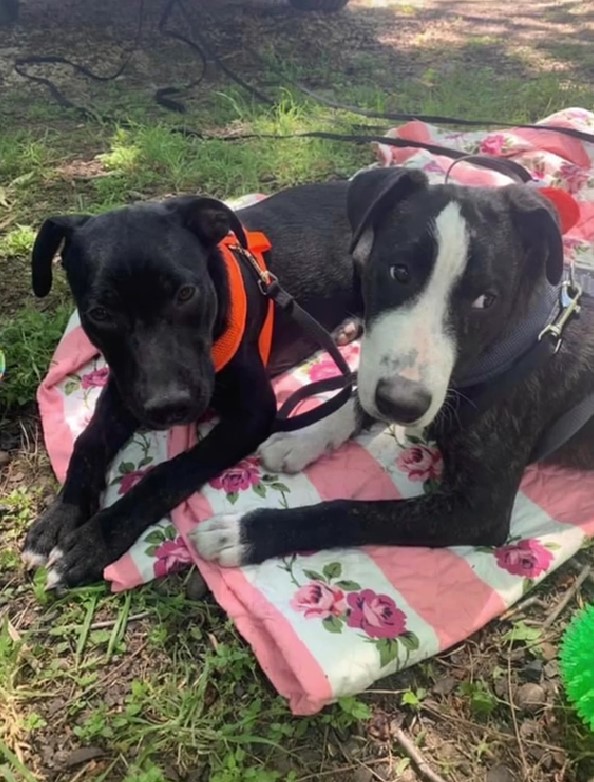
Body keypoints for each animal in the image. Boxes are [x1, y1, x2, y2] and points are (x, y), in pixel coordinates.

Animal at [23, 184, 360, 588]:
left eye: (185, 293)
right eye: (100, 314)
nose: (169, 406)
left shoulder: (253, 414)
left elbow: (167, 472)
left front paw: (95, 539)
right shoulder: (125, 387)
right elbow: (87, 442)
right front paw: (60, 515)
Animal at [194, 168, 592, 568]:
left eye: (486, 300)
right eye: (399, 272)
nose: (402, 405)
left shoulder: (479, 511)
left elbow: (349, 512)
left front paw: (244, 532)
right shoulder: (384, 382)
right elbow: (356, 399)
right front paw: (302, 439)